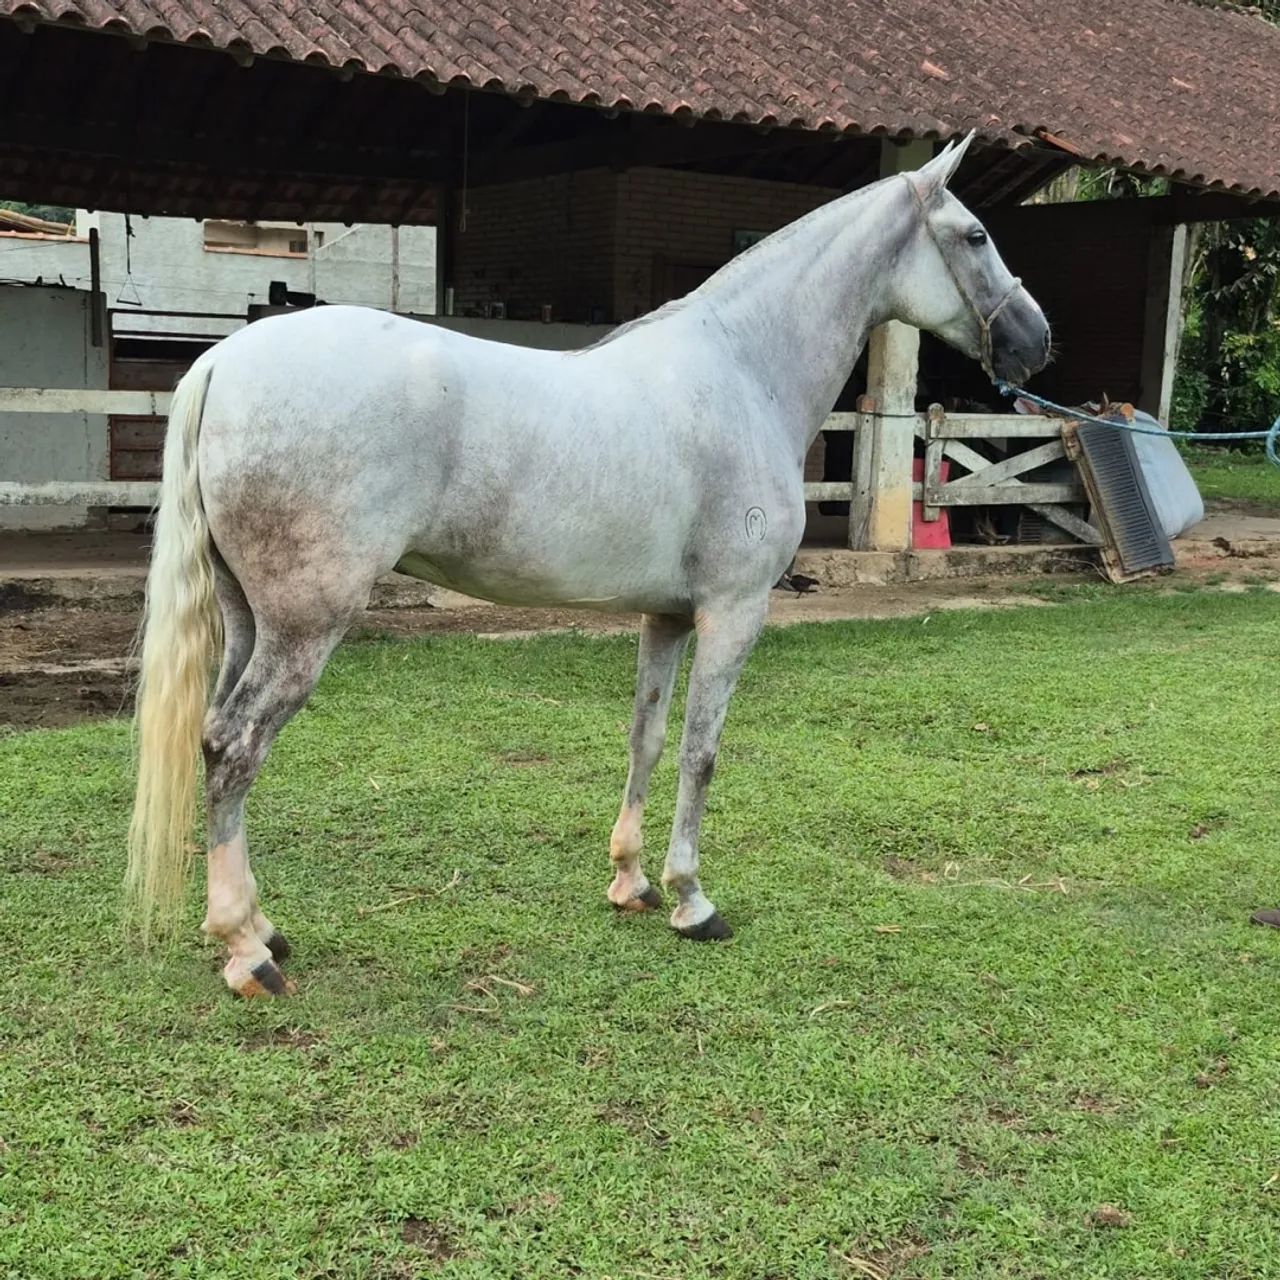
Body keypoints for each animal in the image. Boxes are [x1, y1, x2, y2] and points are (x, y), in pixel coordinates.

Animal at [127, 133, 1051, 996]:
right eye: (975, 235)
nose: (1036, 340)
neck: (744, 370)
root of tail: (225, 361)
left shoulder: (667, 615)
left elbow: (647, 737)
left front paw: (632, 882)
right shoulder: (734, 610)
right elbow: (702, 752)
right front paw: (692, 900)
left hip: (249, 617)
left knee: (213, 740)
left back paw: (262, 929)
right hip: (305, 626)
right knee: (235, 748)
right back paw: (247, 949)